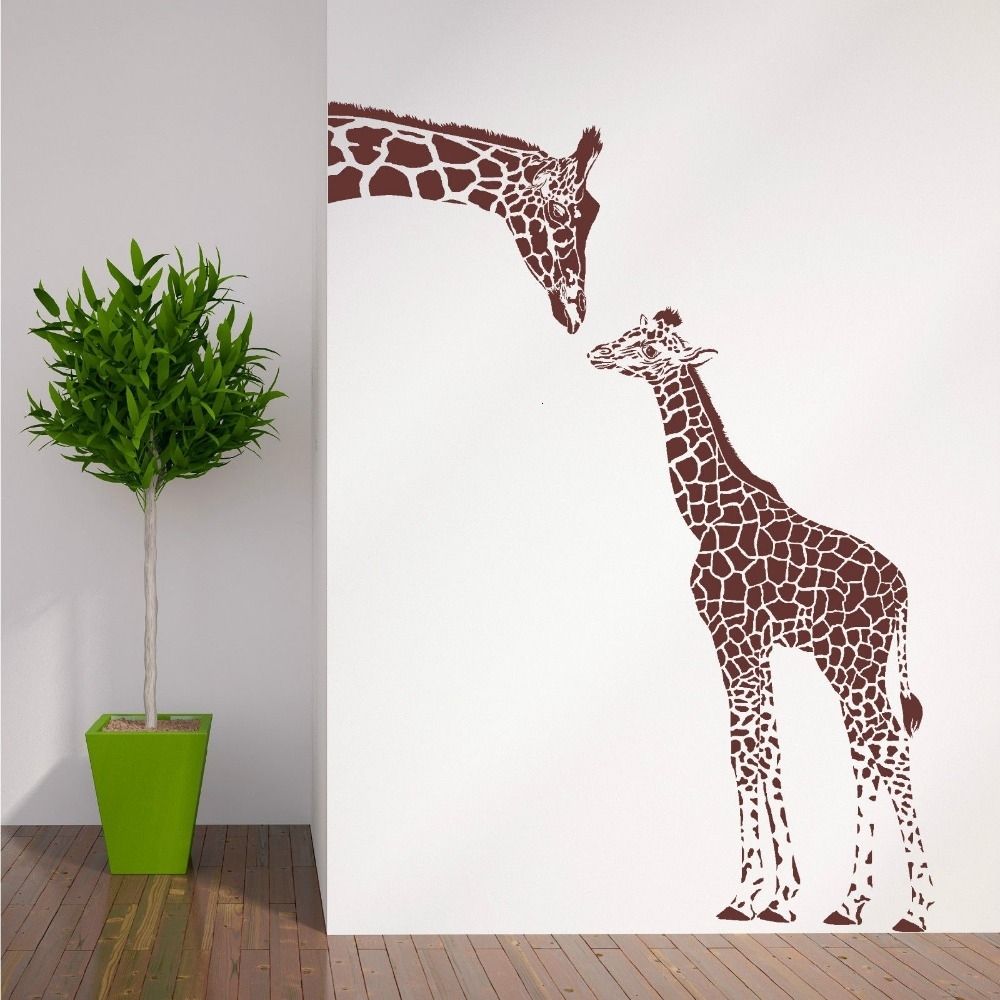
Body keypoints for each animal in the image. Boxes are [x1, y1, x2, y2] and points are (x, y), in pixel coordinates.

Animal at [587, 309, 933, 932]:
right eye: (629, 332)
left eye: (650, 347)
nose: (598, 352)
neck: (706, 516)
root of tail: (902, 590)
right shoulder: (752, 643)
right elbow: (760, 745)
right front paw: (775, 895)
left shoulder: (733, 636)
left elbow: (746, 750)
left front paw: (755, 895)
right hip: (847, 666)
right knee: (866, 754)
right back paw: (850, 903)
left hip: (858, 663)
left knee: (889, 748)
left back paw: (915, 909)